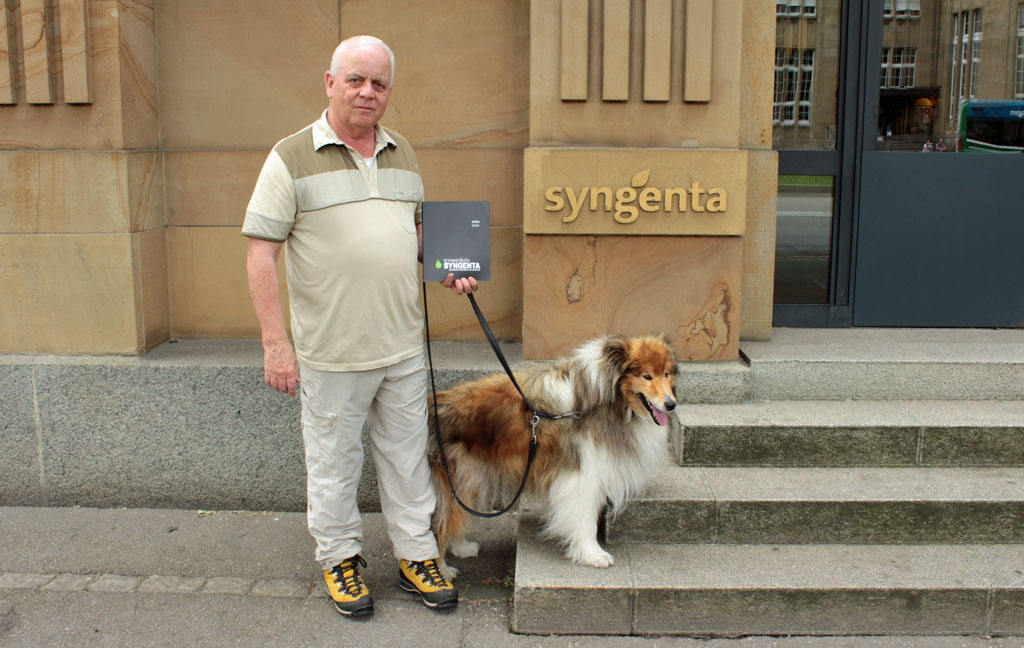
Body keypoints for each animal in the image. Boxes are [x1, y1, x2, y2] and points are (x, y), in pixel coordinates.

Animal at [425, 333, 675, 577]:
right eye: (646, 376)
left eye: (666, 373)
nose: (671, 404)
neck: (603, 398)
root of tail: (434, 406)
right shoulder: (582, 476)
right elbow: (585, 519)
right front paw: (592, 554)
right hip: (460, 478)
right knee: (440, 525)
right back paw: (442, 570)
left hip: (473, 478)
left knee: (454, 516)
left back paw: (462, 548)